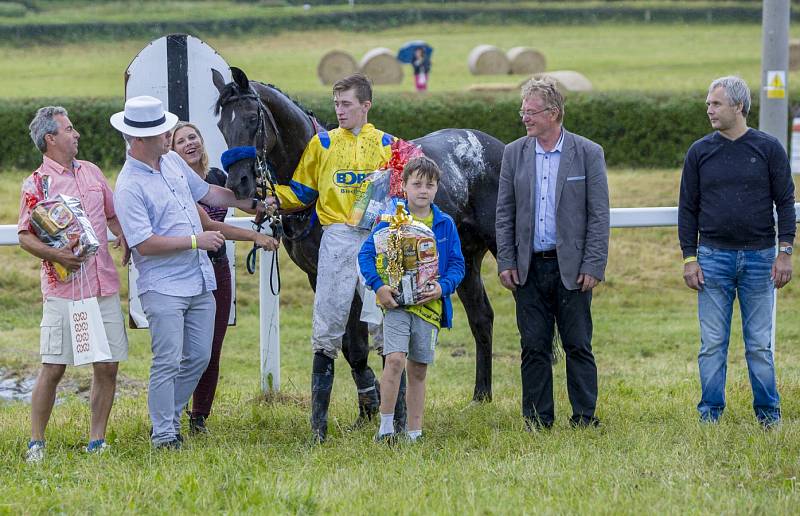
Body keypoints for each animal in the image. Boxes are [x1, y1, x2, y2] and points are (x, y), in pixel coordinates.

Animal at [211, 66, 500, 412]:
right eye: (222, 124)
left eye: (252, 117)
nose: (238, 183)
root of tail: (490, 144)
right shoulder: (319, 274)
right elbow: (349, 345)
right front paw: (369, 402)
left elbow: (361, 343)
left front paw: (375, 404)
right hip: (465, 257)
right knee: (481, 317)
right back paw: (481, 397)